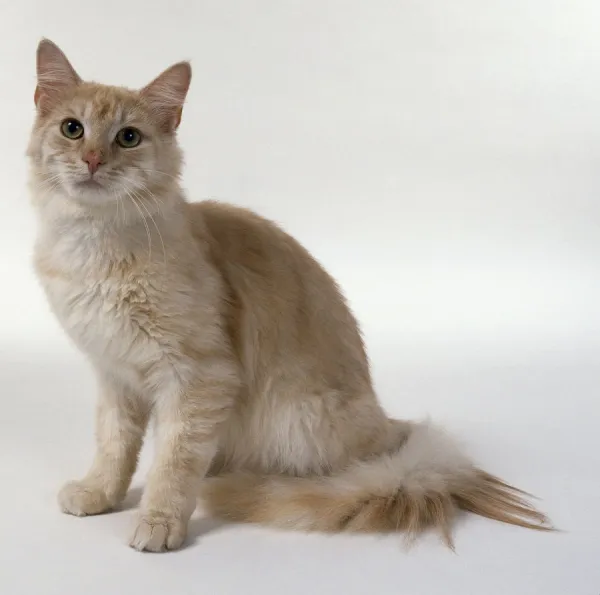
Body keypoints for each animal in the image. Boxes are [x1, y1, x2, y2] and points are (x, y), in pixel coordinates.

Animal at [29, 39, 552, 556]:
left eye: (128, 137)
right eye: (73, 129)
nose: (93, 159)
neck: (95, 245)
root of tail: (392, 435)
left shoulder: (199, 377)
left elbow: (174, 462)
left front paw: (159, 519)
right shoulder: (116, 376)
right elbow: (114, 446)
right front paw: (100, 493)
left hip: (298, 419)